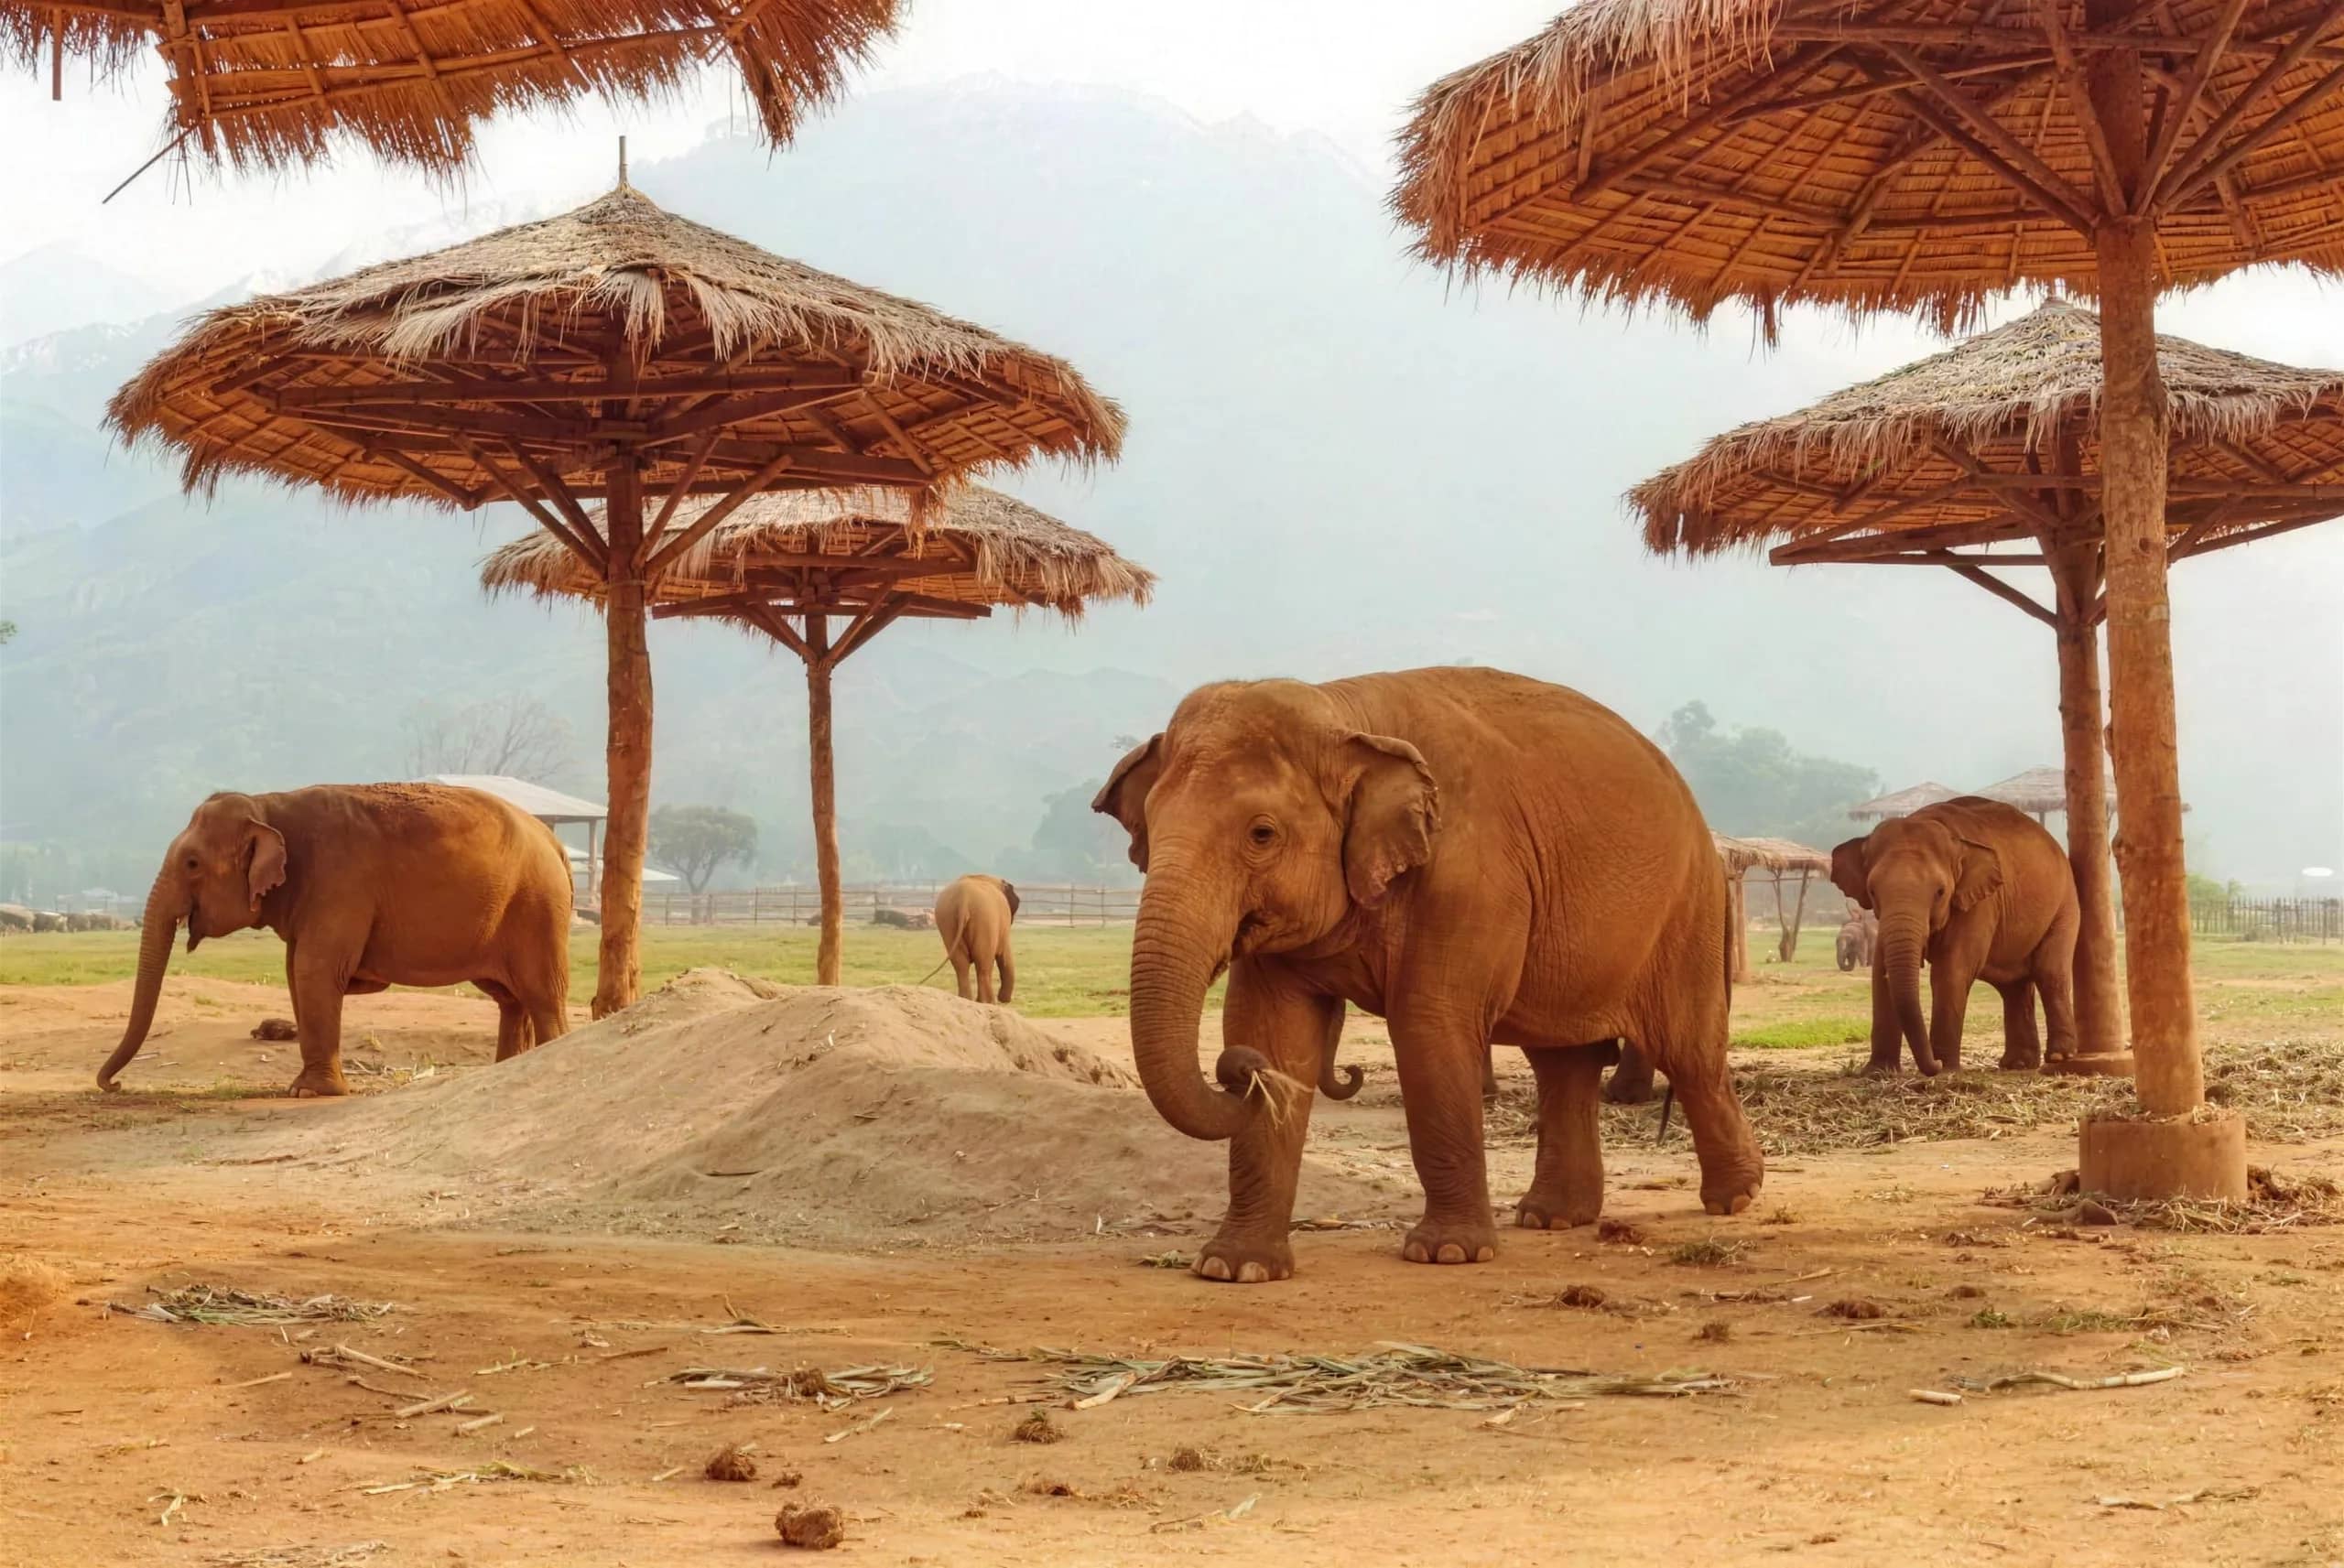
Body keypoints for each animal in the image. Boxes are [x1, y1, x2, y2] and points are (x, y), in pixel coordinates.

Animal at [98, 783, 574, 1096]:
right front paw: (304, 1088)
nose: (114, 1085)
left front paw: (310, 1093)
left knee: (542, 994)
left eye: (193, 863)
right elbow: (296, 972)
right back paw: (505, 1069)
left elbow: (314, 969)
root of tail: (554, 841)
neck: (269, 805)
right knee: (510, 999)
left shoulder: (339, 883)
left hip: (538, 907)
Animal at [932, 874, 1019, 1004]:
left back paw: (966, 999)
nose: (1005, 1000)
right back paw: (988, 1002)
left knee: (961, 964)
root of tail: (964, 898)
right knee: (983, 964)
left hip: (947, 921)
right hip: (985, 919)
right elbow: (1004, 954)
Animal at [1093, 666, 1763, 1284]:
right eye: (1149, 828)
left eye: (1262, 833)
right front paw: (1235, 1268)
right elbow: (1272, 1028)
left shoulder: (1468, 876)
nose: (1238, 1070)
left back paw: (1734, 1198)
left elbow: (1429, 1025)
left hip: (1688, 911)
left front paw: (1448, 1254)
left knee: (1689, 1049)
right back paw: (1550, 1217)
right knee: (1562, 1059)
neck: (1344, 713)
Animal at [1828, 797, 2079, 1076]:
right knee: (2013, 986)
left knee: (2049, 972)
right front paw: (1877, 1073)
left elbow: (1951, 969)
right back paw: (2019, 1064)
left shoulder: (1979, 902)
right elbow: (1880, 973)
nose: (1933, 1064)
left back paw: (2058, 1057)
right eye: (1872, 891)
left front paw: (1946, 1069)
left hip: (2065, 906)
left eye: (1940, 892)